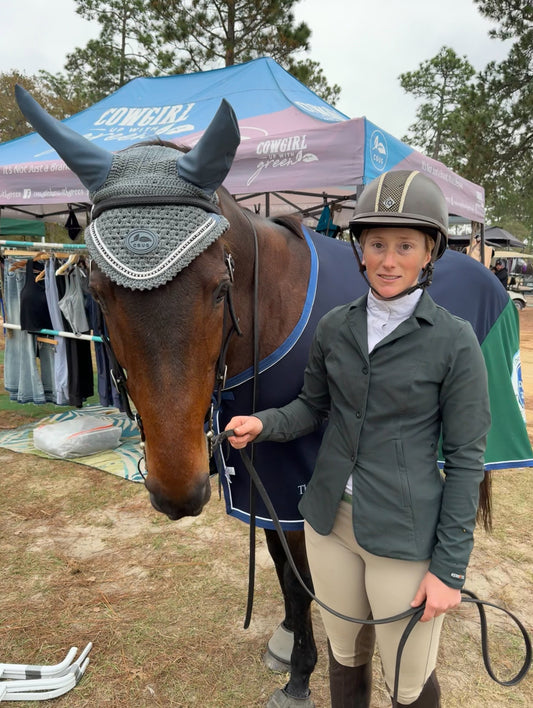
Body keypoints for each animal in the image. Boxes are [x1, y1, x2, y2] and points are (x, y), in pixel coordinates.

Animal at [16, 87, 512, 708]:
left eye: (219, 289)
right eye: (101, 292)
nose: (177, 492)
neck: (273, 314)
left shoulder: (299, 488)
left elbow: (301, 582)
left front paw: (301, 674)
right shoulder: (262, 478)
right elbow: (283, 572)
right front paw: (291, 647)